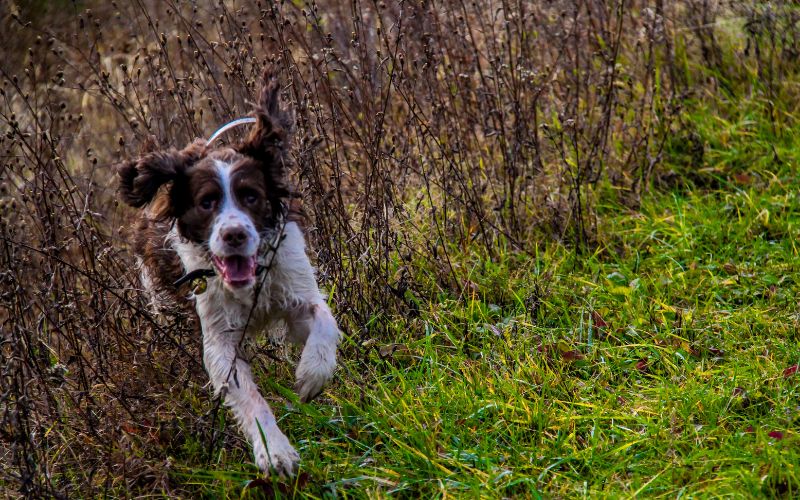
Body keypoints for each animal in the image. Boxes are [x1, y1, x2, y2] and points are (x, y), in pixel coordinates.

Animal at [114, 70, 340, 476]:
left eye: (250, 196)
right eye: (207, 203)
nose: (234, 234)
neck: (250, 283)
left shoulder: (297, 290)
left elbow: (323, 323)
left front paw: (310, 377)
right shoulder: (219, 339)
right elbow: (248, 396)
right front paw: (275, 452)